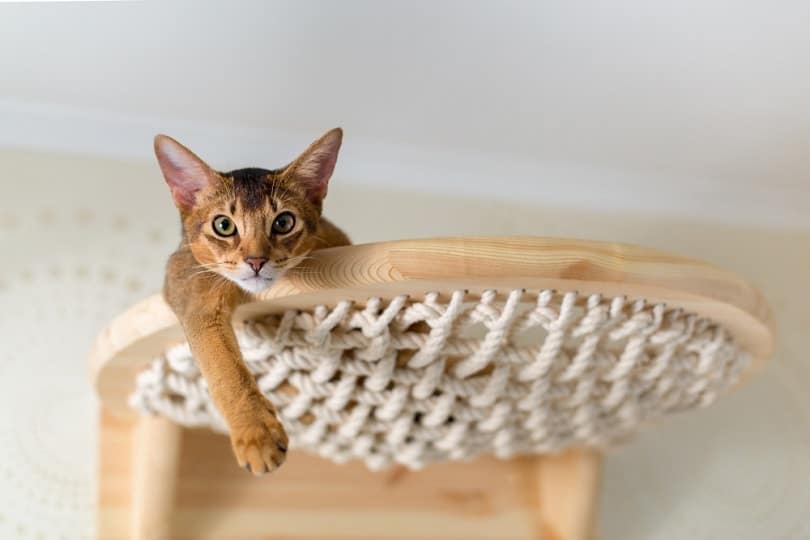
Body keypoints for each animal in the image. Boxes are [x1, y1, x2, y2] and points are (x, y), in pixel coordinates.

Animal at [155, 130, 350, 476]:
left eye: (283, 222)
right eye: (223, 225)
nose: (256, 261)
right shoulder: (192, 287)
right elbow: (224, 369)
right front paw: (256, 436)